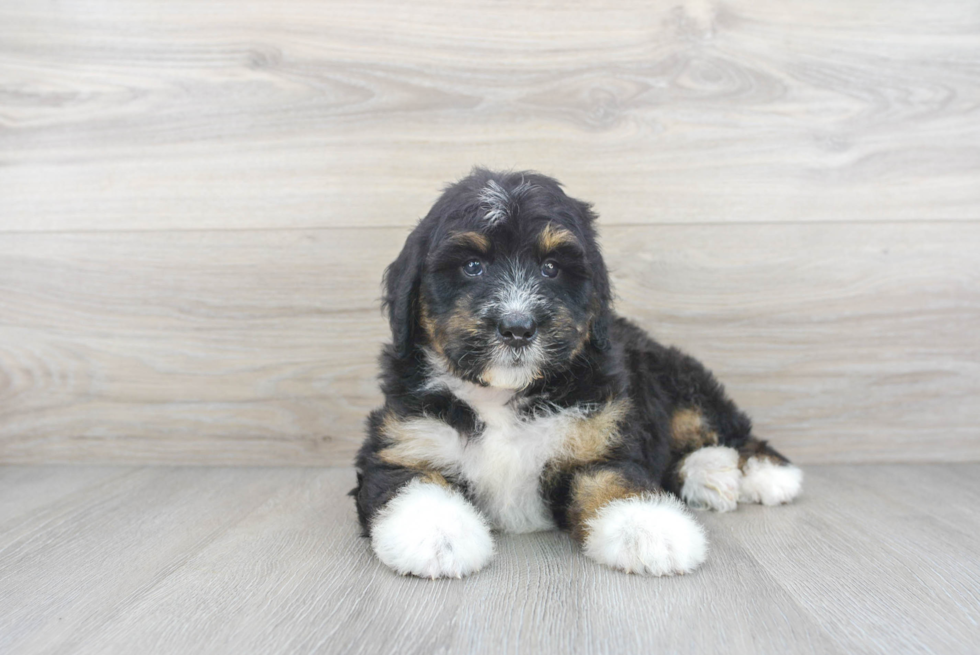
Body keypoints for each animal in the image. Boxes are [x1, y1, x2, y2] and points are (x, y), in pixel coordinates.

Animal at [352, 168, 804, 580]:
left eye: (551, 268)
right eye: (473, 266)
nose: (517, 327)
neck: (501, 395)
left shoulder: (599, 440)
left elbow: (615, 483)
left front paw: (653, 531)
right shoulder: (405, 440)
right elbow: (412, 483)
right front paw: (437, 535)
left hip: (676, 378)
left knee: (721, 427)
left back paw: (765, 475)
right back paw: (711, 473)